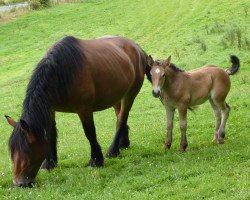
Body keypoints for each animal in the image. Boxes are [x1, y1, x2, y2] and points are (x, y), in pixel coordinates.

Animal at [4, 36, 151, 188]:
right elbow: (50, 134)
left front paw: (96, 160)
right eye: (13, 151)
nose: (19, 183)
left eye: (27, 150)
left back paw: (112, 150)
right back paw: (123, 144)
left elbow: (89, 132)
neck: (61, 72)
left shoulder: (84, 108)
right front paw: (50, 163)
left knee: (122, 118)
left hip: (130, 95)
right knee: (120, 118)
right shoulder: (50, 109)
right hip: (117, 96)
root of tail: (137, 48)